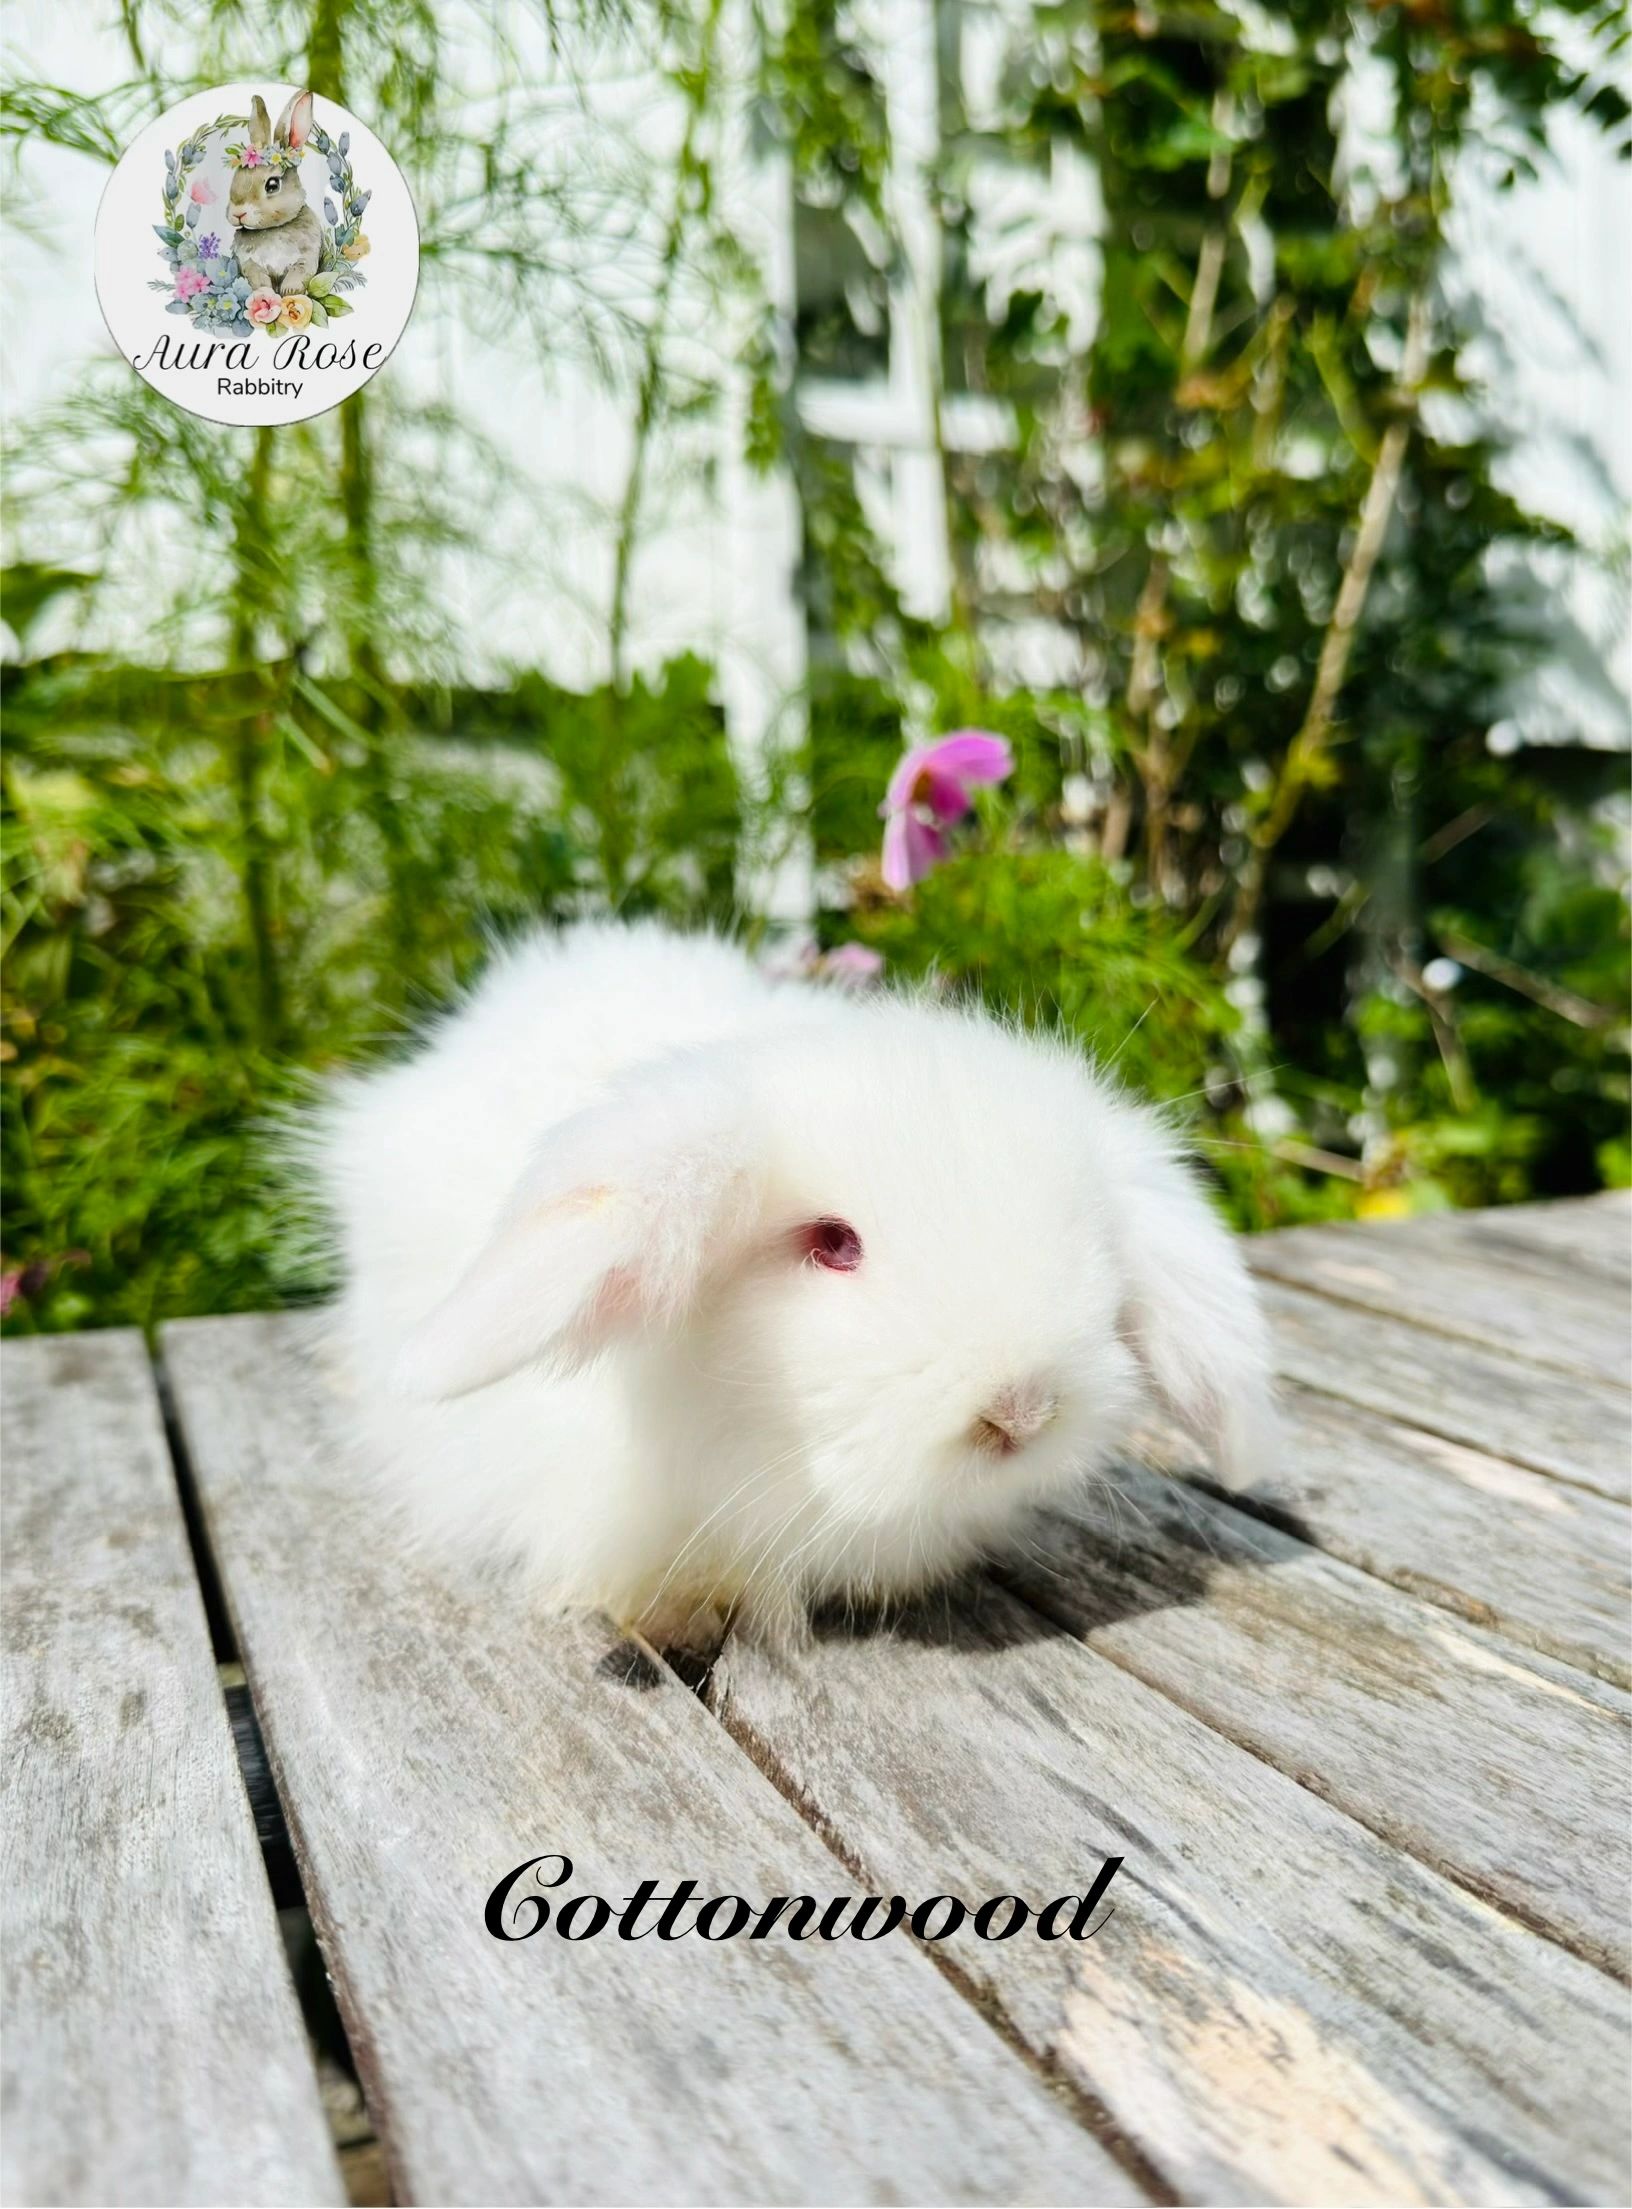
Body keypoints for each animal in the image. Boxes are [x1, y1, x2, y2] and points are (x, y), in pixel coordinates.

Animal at [229, 91, 323, 297]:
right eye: (235, 177)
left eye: (272, 185)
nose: (237, 214)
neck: (272, 229)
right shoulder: (250, 263)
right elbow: (259, 280)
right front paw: (265, 293)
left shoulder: (306, 257)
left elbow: (299, 273)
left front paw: (289, 292)